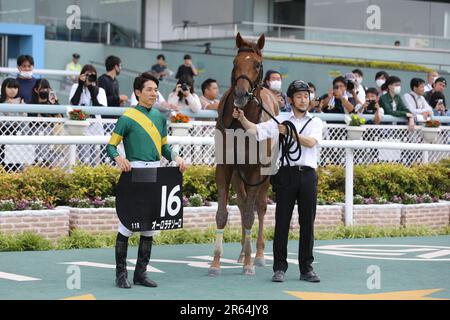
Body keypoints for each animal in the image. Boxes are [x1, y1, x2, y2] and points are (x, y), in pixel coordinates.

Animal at [209, 33, 280, 278]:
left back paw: (257, 254)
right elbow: (223, 213)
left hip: (265, 173)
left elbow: (251, 213)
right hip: (239, 176)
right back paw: (242, 251)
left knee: (259, 207)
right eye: (234, 62)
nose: (240, 95)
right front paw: (215, 263)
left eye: (257, 64)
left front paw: (250, 263)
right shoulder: (225, 167)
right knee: (241, 203)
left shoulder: (256, 169)